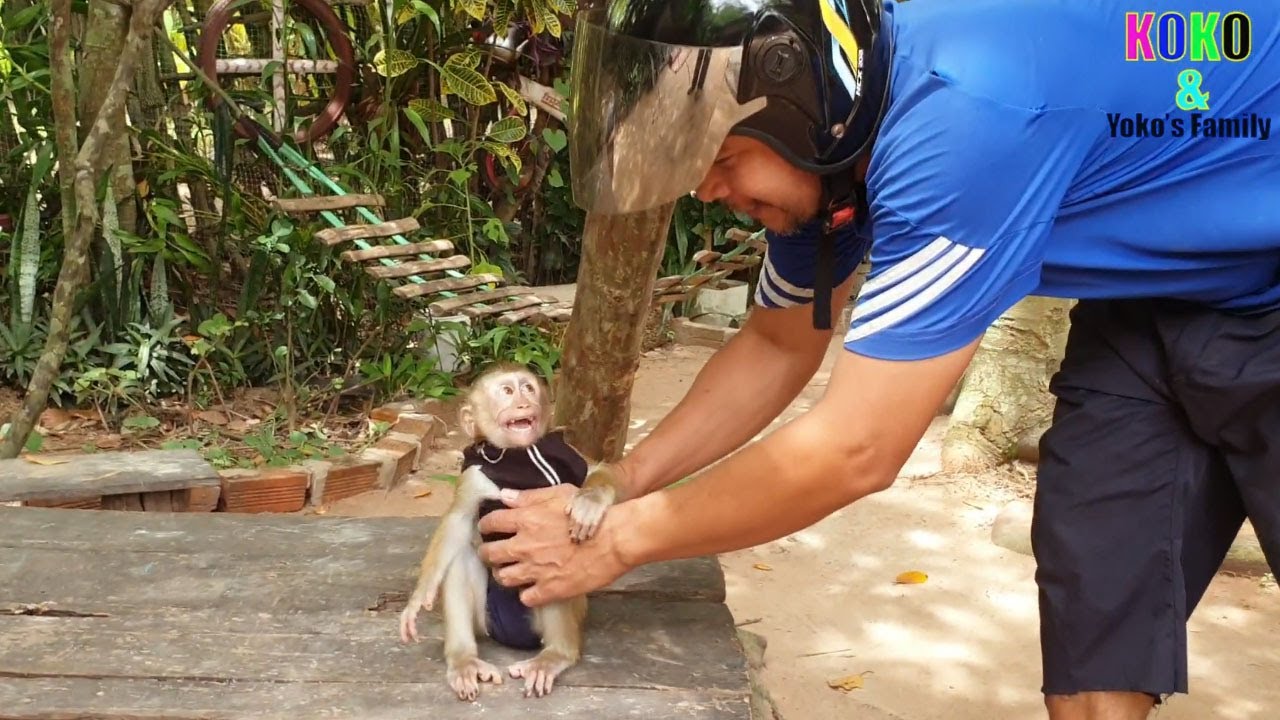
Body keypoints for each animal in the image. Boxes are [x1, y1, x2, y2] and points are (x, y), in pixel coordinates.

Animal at [398, 362, 622, 701]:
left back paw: (556, 655)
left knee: (555, 566)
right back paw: (464, 661)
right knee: (462, 557)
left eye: (527, 387)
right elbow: (457, 523)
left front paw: (589, 502)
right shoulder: (475, 476)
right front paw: (420, 595)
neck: (521, 455)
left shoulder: (568, 453)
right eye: (506, 391)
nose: (523, 403)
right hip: (485, 622)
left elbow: (598, 471)